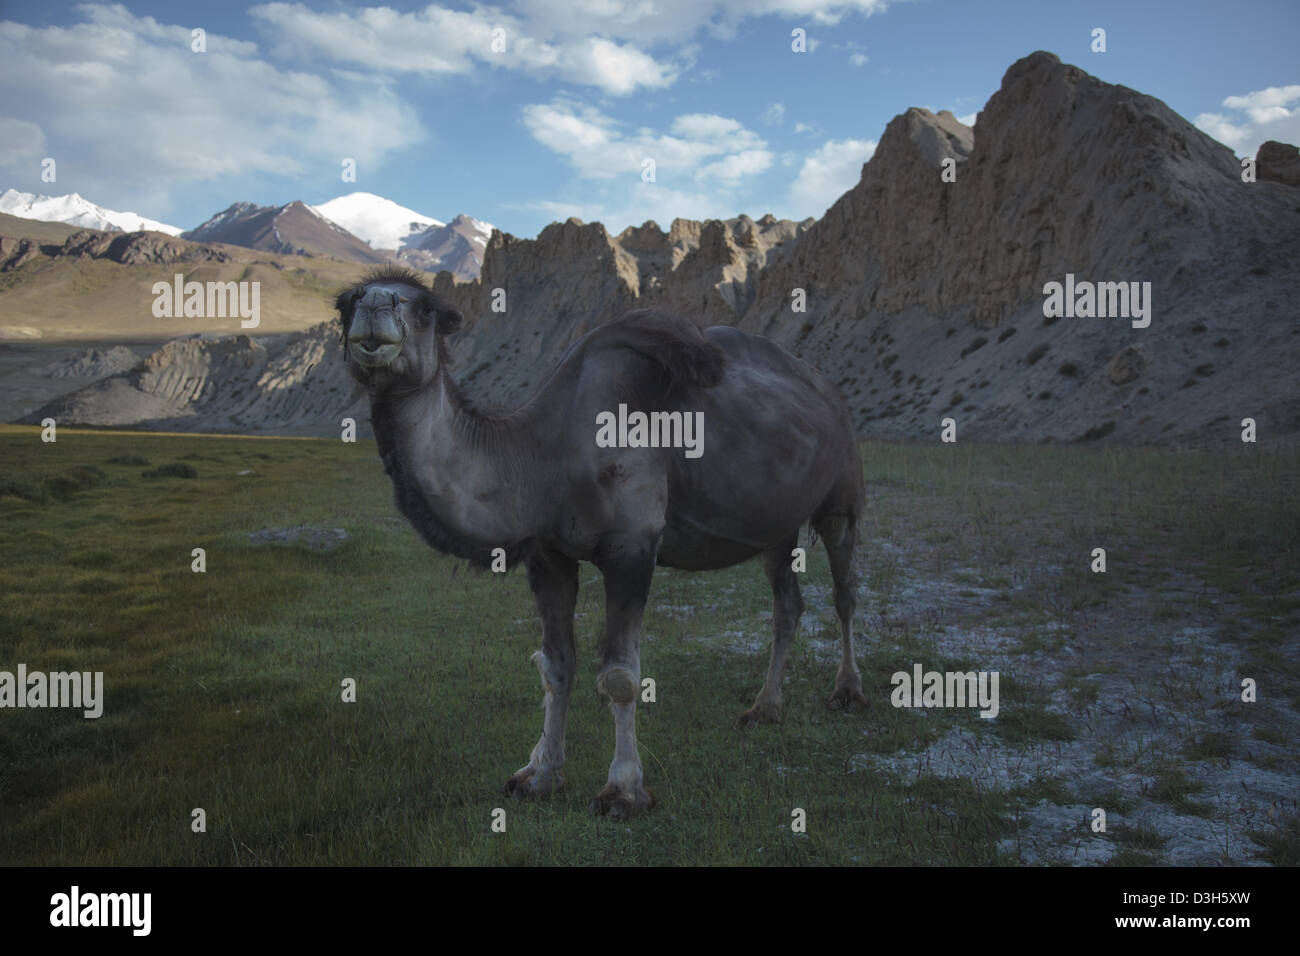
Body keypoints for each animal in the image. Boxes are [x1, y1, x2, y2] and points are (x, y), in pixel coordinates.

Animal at [338, 265, 863, 816]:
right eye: (345, 302)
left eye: (424, 309)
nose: (374, 303)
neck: (542, 456)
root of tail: (827, 390)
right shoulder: (549, 554)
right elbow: (554, 665)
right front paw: (540, 775)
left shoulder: (631, 546)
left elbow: (620, 676)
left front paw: (623, 791)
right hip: (774, 524)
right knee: (788, 604)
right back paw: (764, 709)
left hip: (842, 492)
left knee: (845, 590)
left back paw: (847, 692)